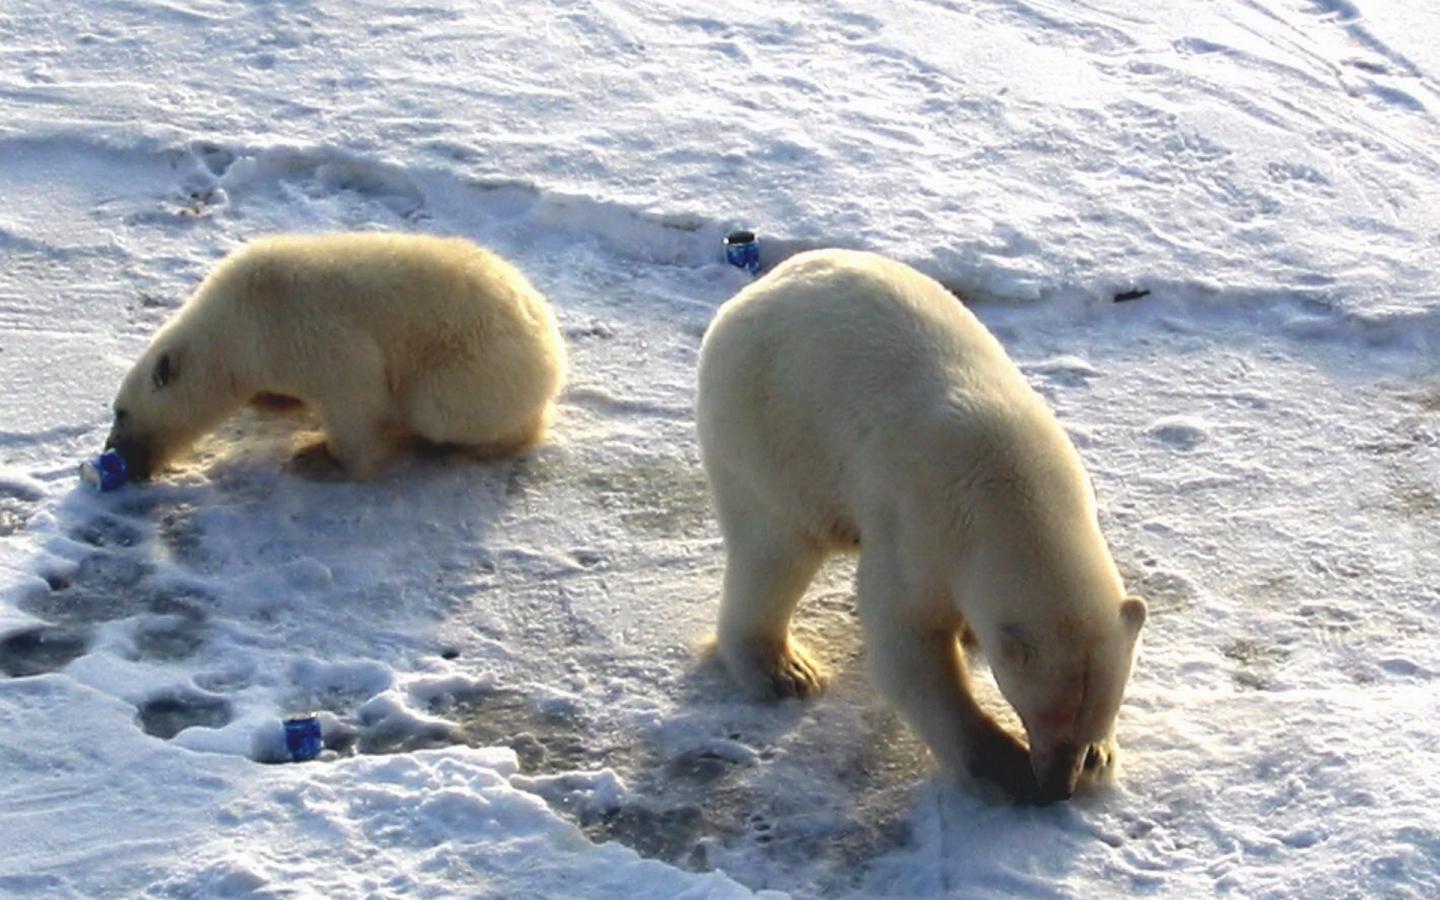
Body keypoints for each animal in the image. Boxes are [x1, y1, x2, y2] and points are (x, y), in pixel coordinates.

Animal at [105, 234, 567, 480]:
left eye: (120, 413)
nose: (114, 456)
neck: (235, 320)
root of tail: (554, 356)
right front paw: (272, 399)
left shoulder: (303, 328)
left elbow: (356, 390)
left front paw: (316, 456)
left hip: (478, 365)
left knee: (436, 407)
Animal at [696, 249, 1146, 806]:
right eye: (1048, 716)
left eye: (1097, 713)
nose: (1057, 788)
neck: (1013, 486)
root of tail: (753, 291)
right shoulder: (923, 521)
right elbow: (908, 637)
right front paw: (1000, 764)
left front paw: (1100, 758)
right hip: (770, 429)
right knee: (776, 547)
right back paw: (783, 669)